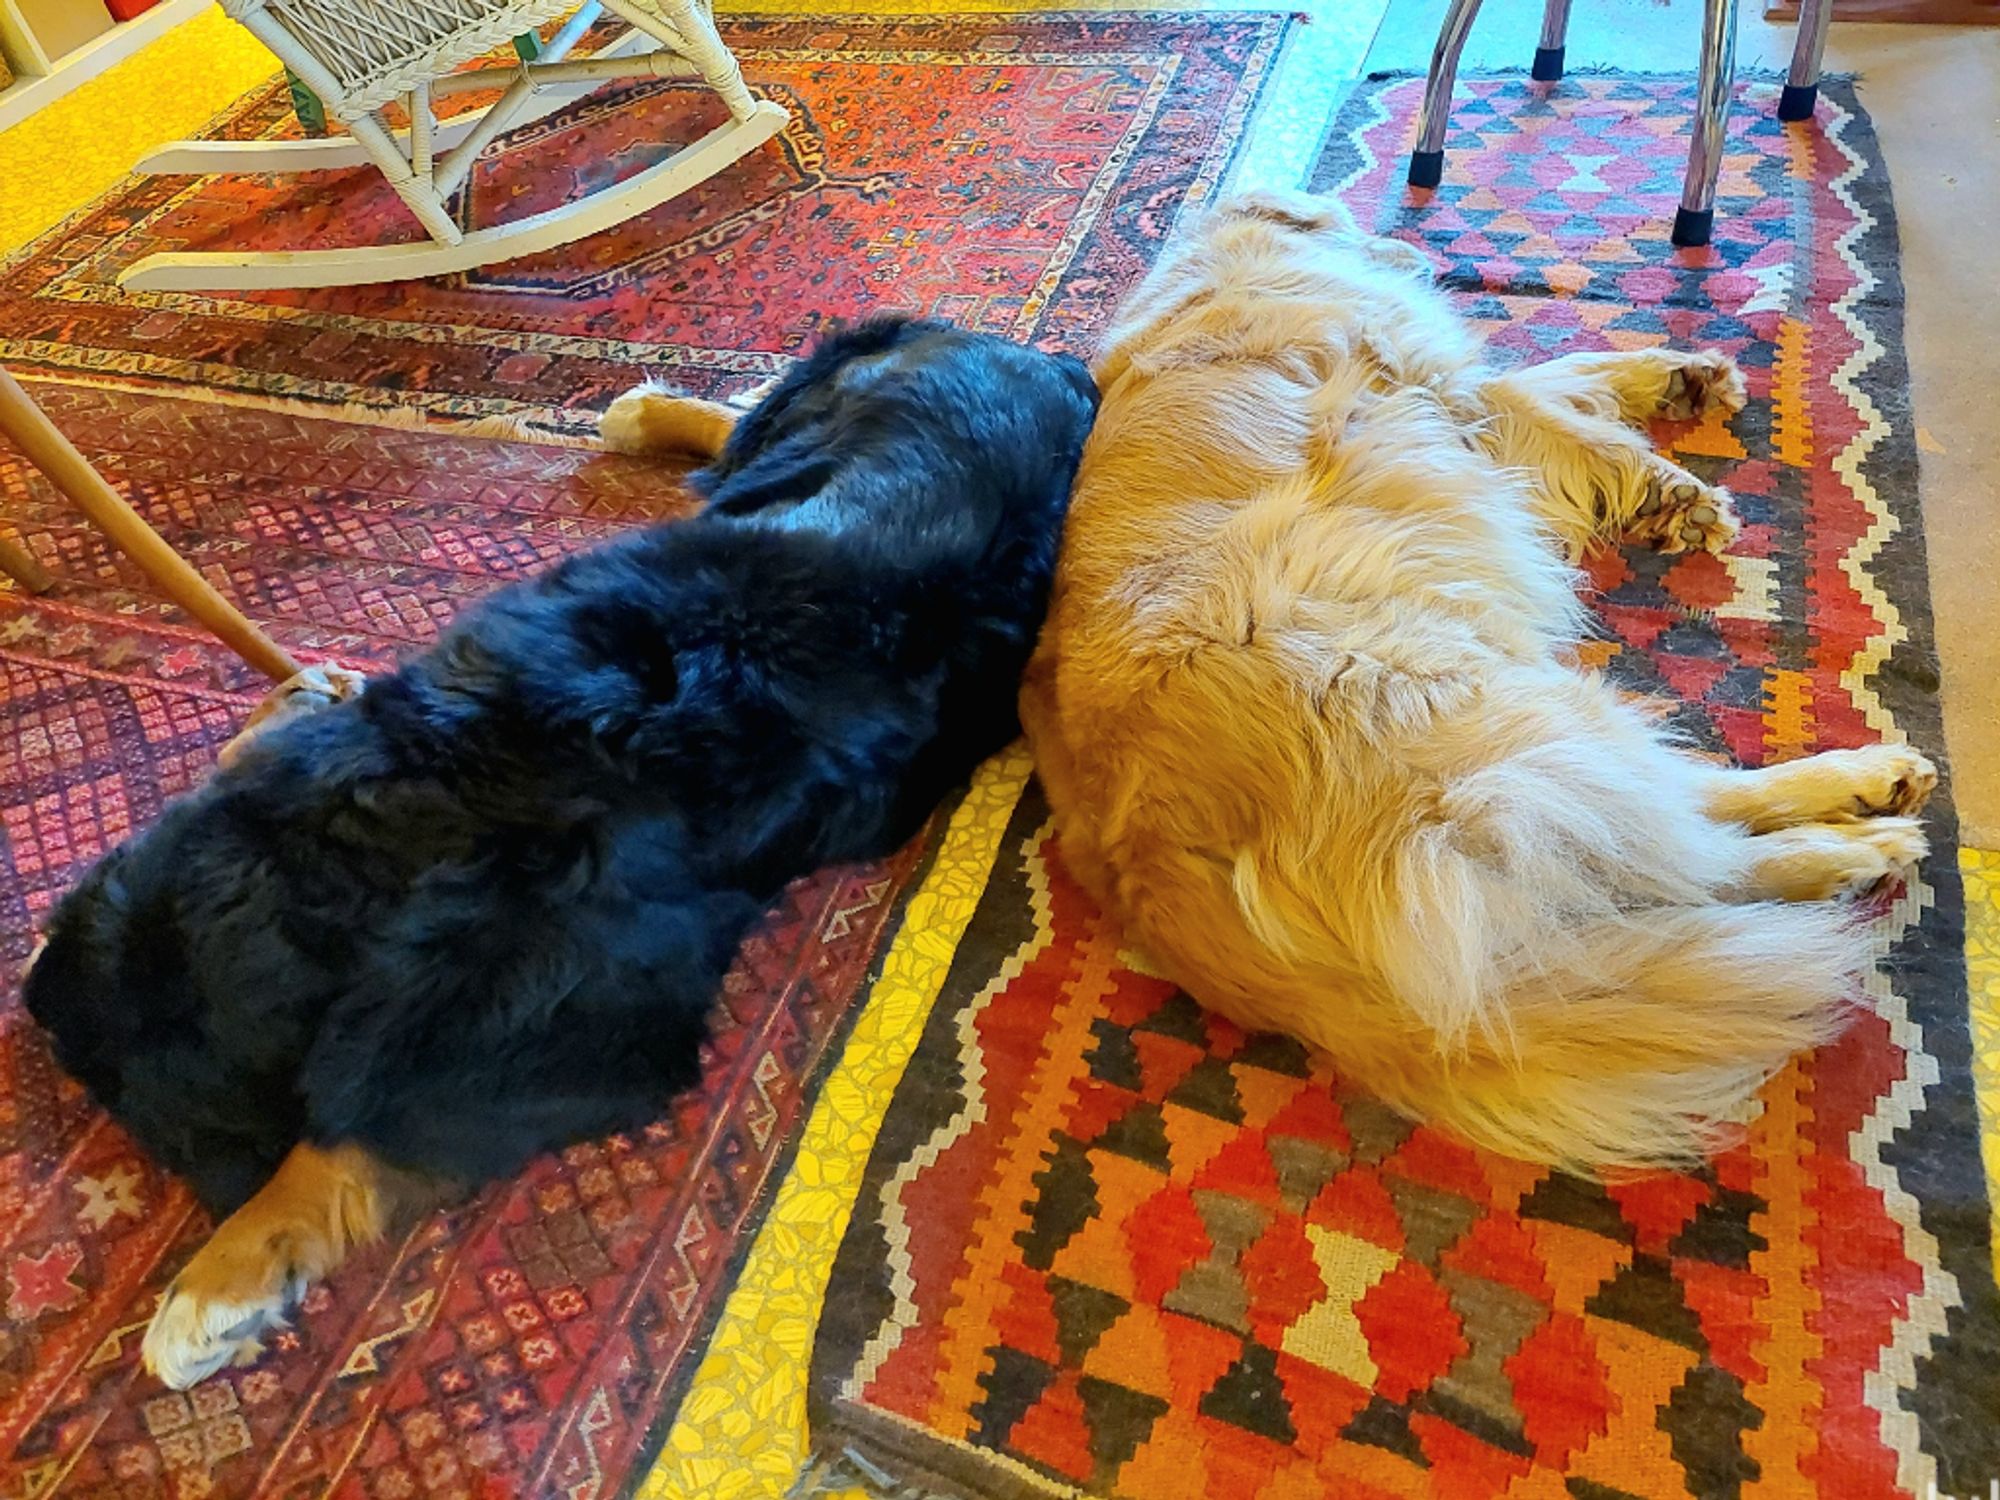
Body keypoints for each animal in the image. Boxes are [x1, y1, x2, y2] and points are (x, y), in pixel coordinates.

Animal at [27, 324, 1096, 1392]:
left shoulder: (591, 1032)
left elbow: (345, 1134)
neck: (440, 797)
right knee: (741, 428)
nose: (31, 999)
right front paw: (289, 699)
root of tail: (1022, 352)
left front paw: (221, 1280)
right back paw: (650, 412)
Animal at [1024, 191, 1928, 1176]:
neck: (1219, 265)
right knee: (1695, 847)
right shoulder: (1440, 384)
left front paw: (1675, 380)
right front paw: (1670, 486)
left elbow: (1564, 371)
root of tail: (1145, 873)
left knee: (1671, 843)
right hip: (1487, 712)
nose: (1411, 249)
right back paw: (1856, 830)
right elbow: (1542, 400)